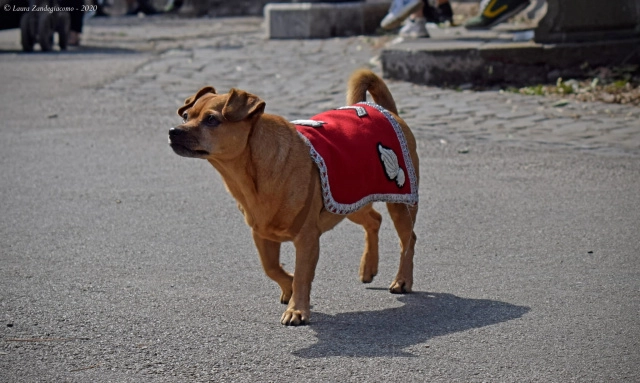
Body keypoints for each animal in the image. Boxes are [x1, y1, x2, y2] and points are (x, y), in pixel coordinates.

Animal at [169, 67, 420, 326]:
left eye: (211, 119)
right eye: (186, 116)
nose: (173, 131)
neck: (249, 175)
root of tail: (384, 110)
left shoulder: (307, 238)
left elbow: (301, 274)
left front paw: (297, 309)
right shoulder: (261, 234)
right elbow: (271, 268)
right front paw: (288, 289)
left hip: (399, 202)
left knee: (408, 240)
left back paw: (402, 280)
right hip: (351, 199)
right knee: (374, 220)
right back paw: (368, 267)